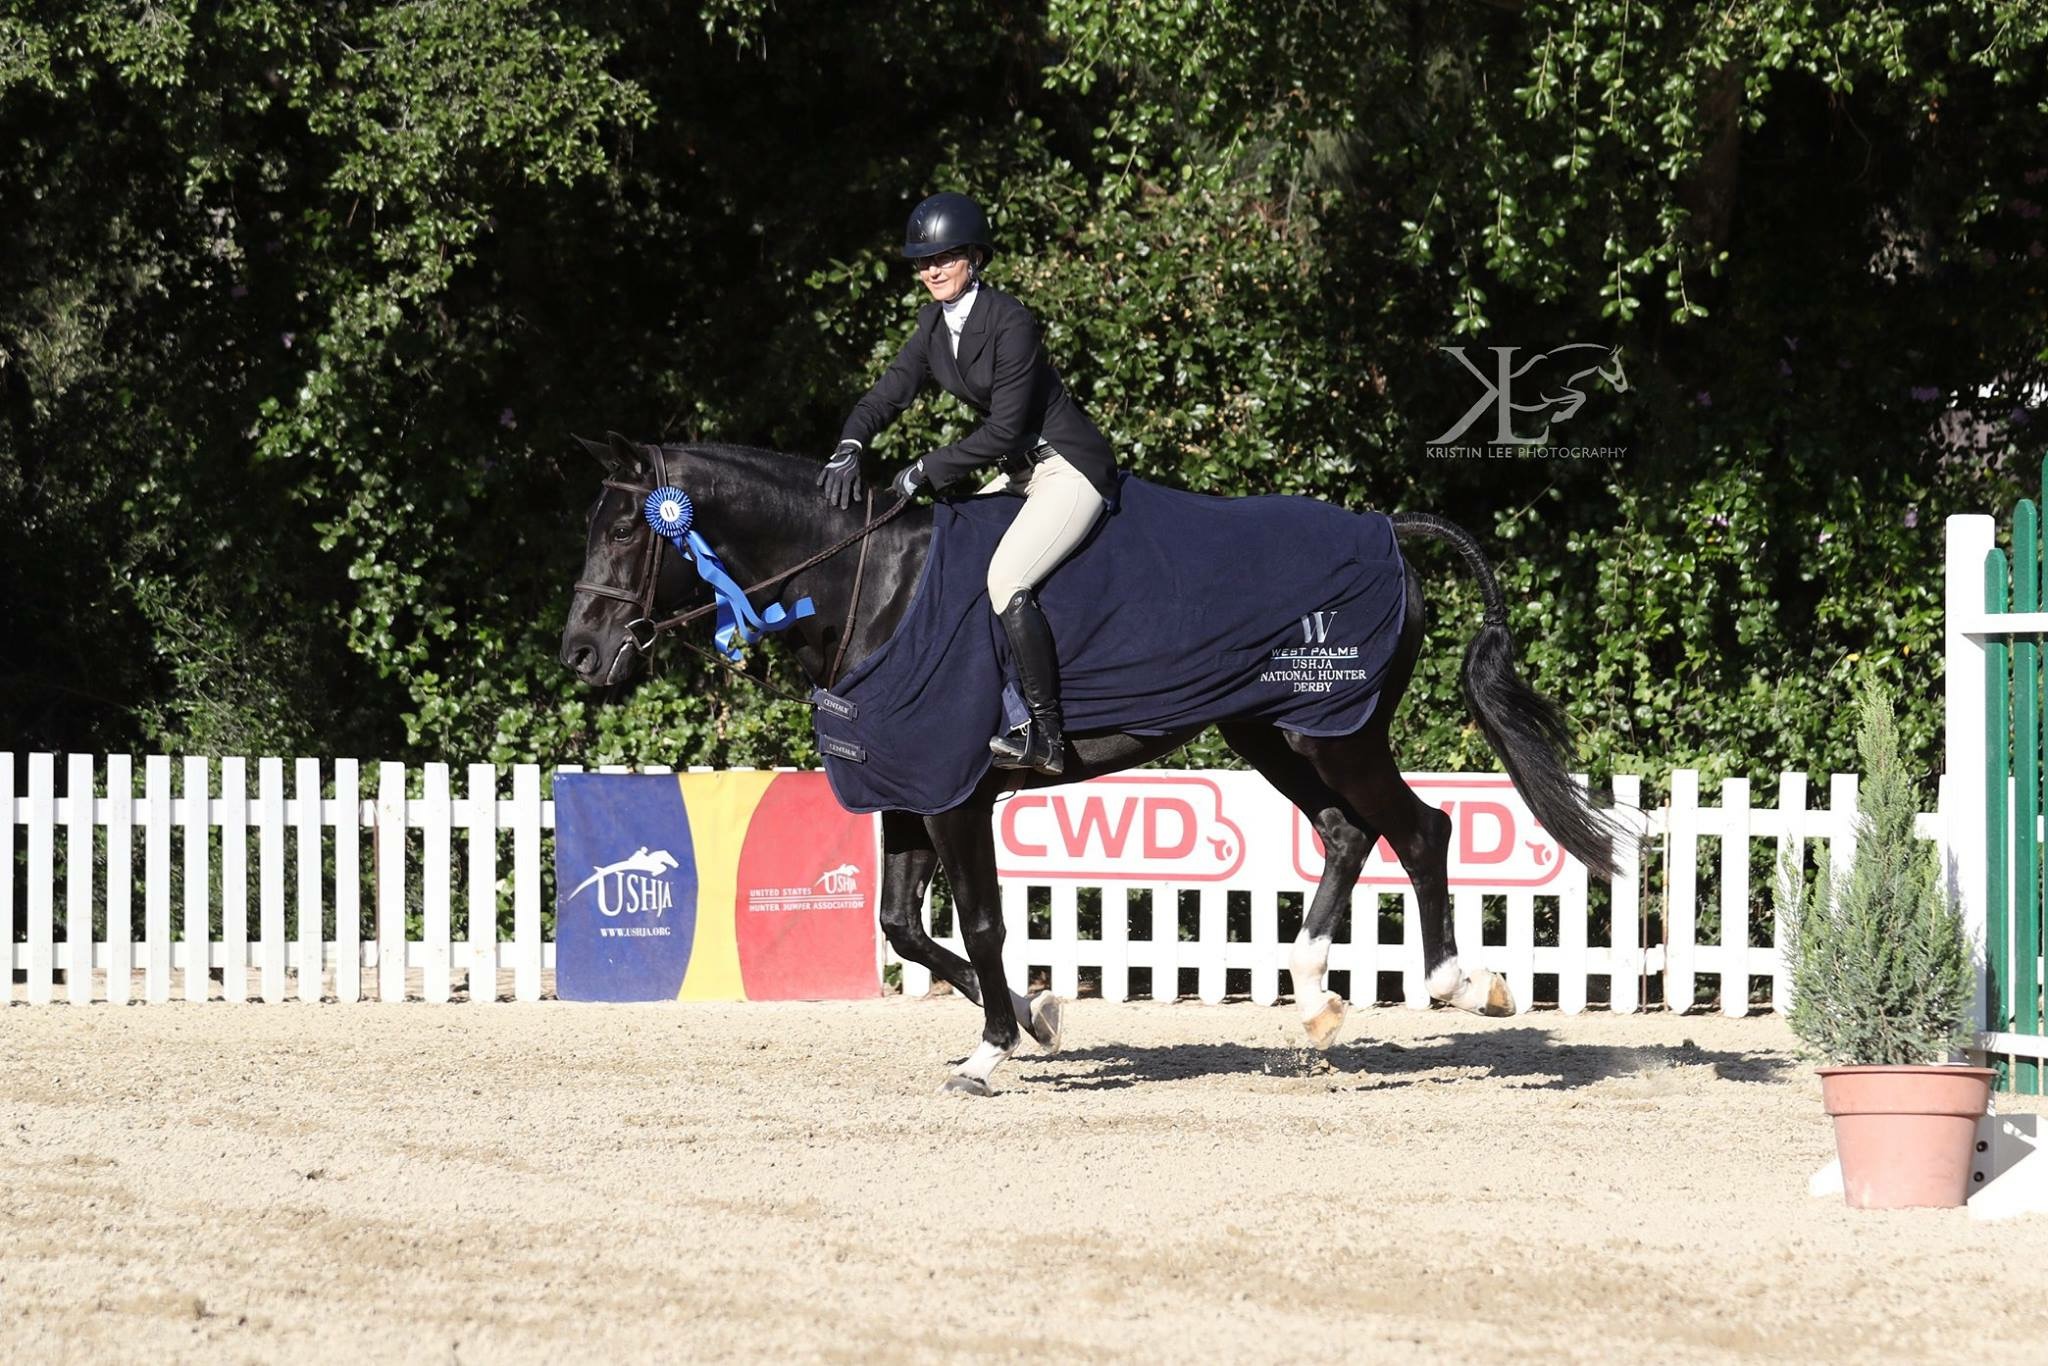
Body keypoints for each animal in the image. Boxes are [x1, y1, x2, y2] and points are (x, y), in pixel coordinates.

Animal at [557, 432, 1613, 1097]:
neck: (871, 584)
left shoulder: (957, 796)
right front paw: (1034, 1016)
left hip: (1336, 731)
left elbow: (979, 922)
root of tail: (1386, 531)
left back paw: (1461, 985)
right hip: (1268, 732)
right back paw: (1315, 1004)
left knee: (1419, 828)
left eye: (625, 528)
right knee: (1349, 833)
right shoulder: (907, 788)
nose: (579, 655)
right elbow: (905, 928)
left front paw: (992, 1052)